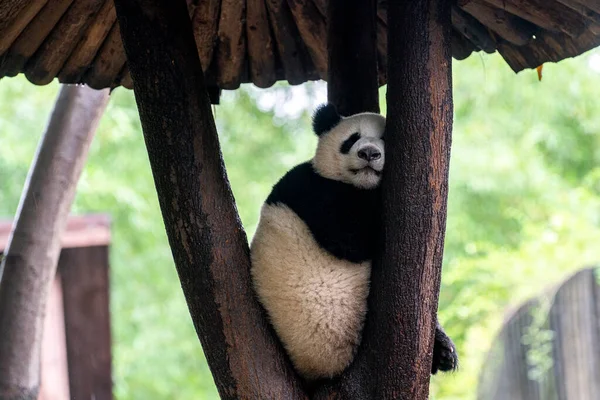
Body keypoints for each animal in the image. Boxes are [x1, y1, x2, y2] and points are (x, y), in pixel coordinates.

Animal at [248, 104, 454, 382]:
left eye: (386, 138)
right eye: (352, 139)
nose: (369, 153)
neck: (359, 185)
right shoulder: (313, 191)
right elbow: (353, 240)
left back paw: (443, 352)